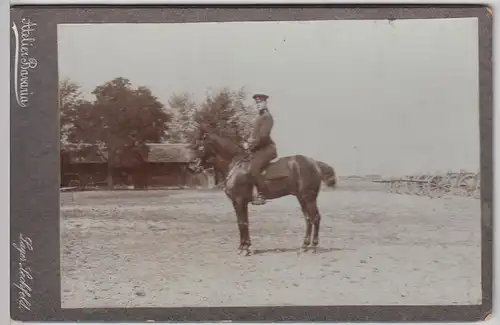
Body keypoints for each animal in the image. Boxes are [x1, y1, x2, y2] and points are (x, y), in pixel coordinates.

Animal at [189, 127, 338, 256]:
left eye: (199, 145)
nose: (192, 166)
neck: (235, 165)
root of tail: (315, 163)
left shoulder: (239, 201)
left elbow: (242, 222)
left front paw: (244, 249)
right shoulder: (240, 202)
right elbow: (243, 222)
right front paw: (245, 246)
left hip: (309, 197)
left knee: (316, 218)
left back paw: (313, 246)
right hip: (301, 197)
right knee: (308, 219)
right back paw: (304, 246)